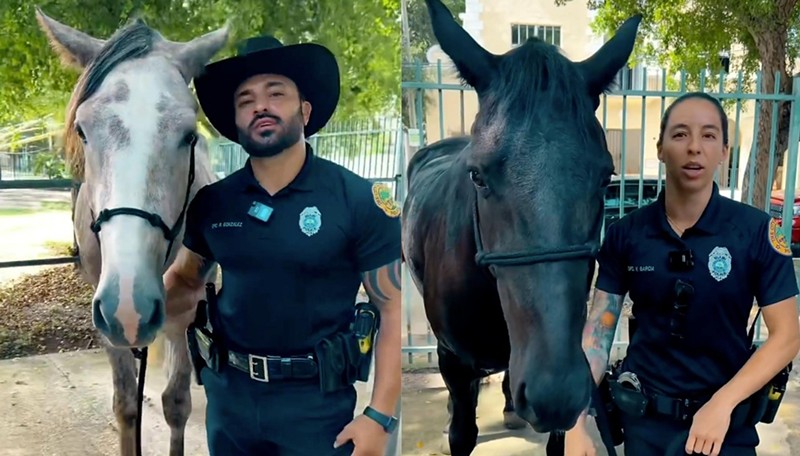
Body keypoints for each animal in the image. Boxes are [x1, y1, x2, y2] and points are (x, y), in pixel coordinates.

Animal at [38, 9, 230, 456]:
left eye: (190, 136)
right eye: (83, 131)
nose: (129, 306)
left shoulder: (184, 315)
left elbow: (176, 404)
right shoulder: (104, 320)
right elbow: (126, 404)